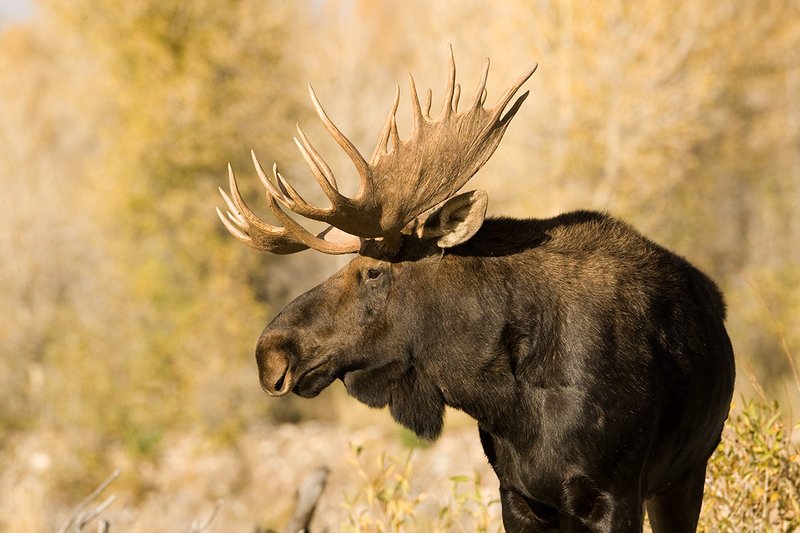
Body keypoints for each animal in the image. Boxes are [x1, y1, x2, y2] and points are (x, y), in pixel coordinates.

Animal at [216, 47, 735, 532]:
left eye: (373, 271)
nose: (270, 353)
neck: (506, 399)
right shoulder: (518, 494)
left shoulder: (617, 493)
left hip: (686, 474)